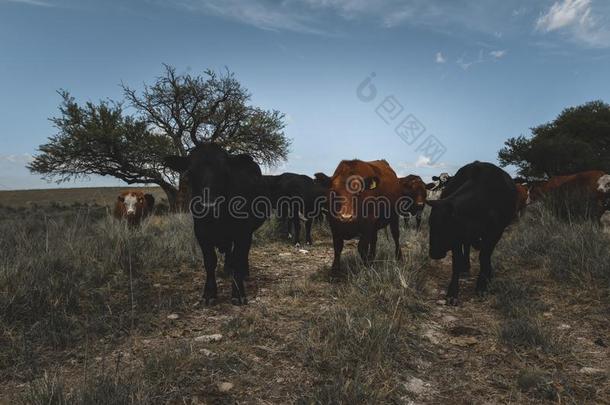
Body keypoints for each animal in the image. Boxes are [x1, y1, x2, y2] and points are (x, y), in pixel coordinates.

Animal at [166, 144, 264, 304]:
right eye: (190, 172)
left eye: (225, 171)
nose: (209, 206)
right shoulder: (201, 232)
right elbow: (210, 261)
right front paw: (209, 293)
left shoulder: (243, 232)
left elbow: (238, 258)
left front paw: (238, 293)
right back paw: (227, 270)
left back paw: (243, 272)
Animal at [426, 161, 516, 304]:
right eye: (430, 224)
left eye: (446, 226)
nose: (434, 253)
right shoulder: (457, 237)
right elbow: (457, 261)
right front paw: (452, 292)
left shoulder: (495, 232)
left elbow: (484, 256)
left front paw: (482, 285)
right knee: (468, 247)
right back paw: (466, 267)